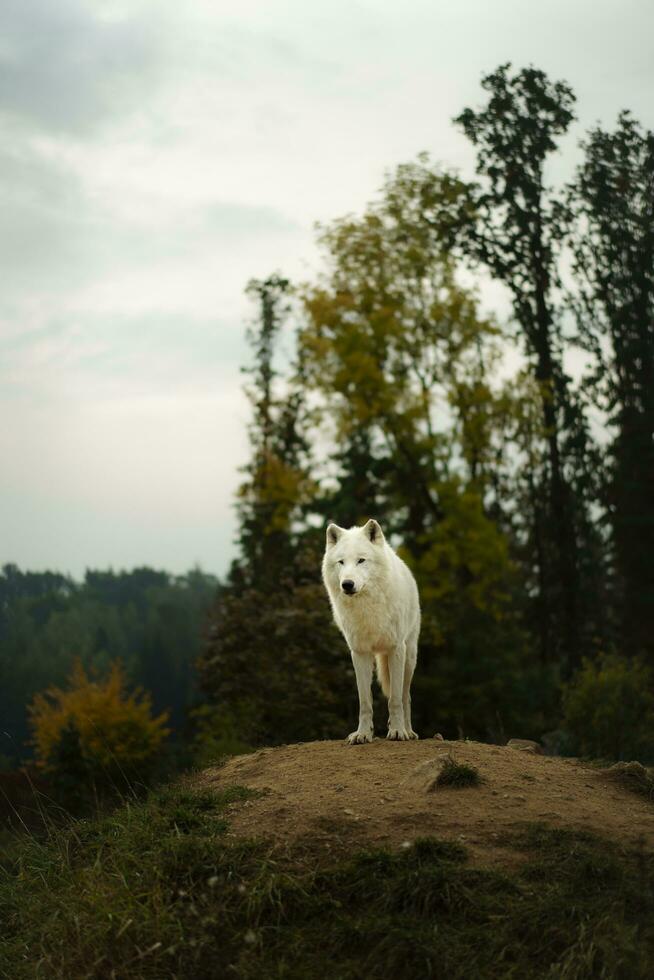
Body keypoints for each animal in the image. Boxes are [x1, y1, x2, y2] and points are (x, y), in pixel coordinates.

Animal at [322, 520, 420, 744]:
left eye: (361, 560)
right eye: (341, 562)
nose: (347, 584)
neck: (367, 607)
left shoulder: (396, 649)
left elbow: (395, 699)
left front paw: (397, 732)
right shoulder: (359, 653)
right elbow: (365, 701)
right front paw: (363, 734)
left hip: (409, 657)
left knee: (405, 696)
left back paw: (408, 731)